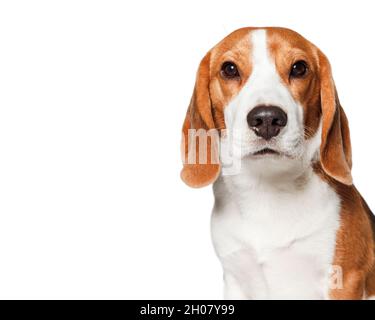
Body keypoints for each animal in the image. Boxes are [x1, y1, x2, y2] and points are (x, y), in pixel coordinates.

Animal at [181, 27, 375, 300]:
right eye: (229, 69)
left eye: (299, 68)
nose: (266, 119)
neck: (266, 190)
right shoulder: (235, 280)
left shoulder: (344, 280)